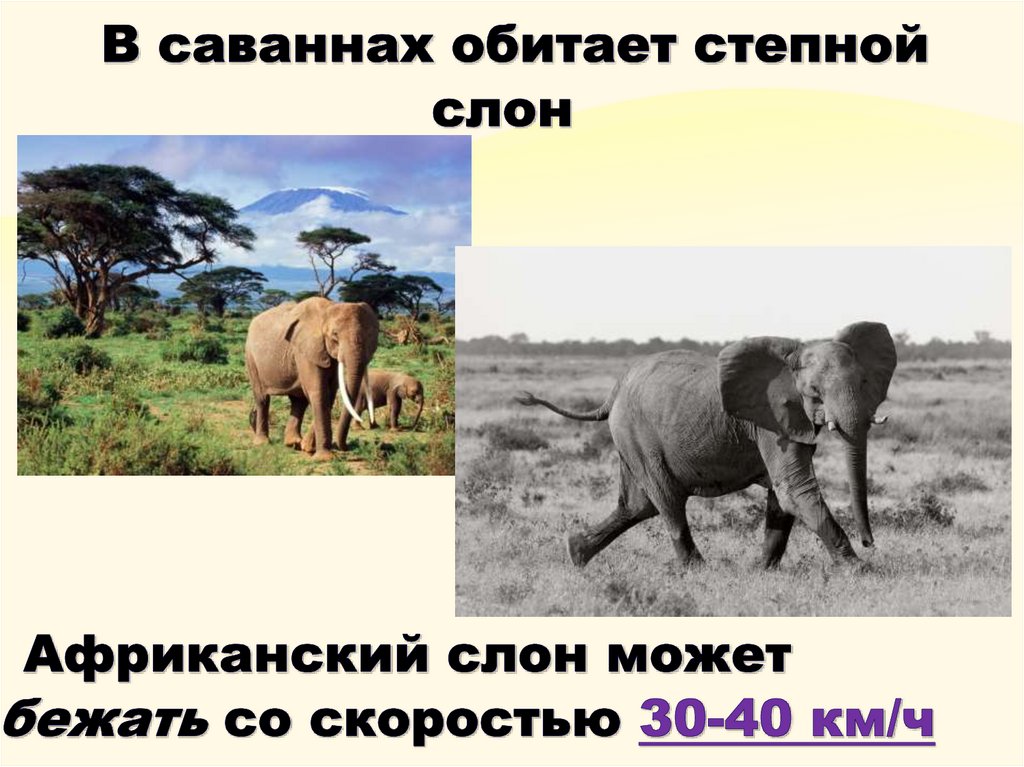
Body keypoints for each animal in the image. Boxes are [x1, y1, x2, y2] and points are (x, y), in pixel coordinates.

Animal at [245, 297, 379, 461]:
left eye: (370, 337)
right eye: (335, 335)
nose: (344, 447)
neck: (329, 308)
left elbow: (329, 394)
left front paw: (308, 448)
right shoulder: (306, 349)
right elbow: (319, 392)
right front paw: (324, 458)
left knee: (298, 401)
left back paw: (293, 443)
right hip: (251, 357)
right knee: (262, 398)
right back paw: (262, 443)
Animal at [515, 322, 897, 569]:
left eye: (865, 382)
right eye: (814, 391)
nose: (870, 542)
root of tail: (614, 391)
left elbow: (782, 496)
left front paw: (762, 572)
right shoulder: (770, 420)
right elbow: (794, 490)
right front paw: (857, 569)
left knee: (638, 506)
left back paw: (576, 553)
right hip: (636, 433)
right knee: (666, 500)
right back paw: (698, 570)